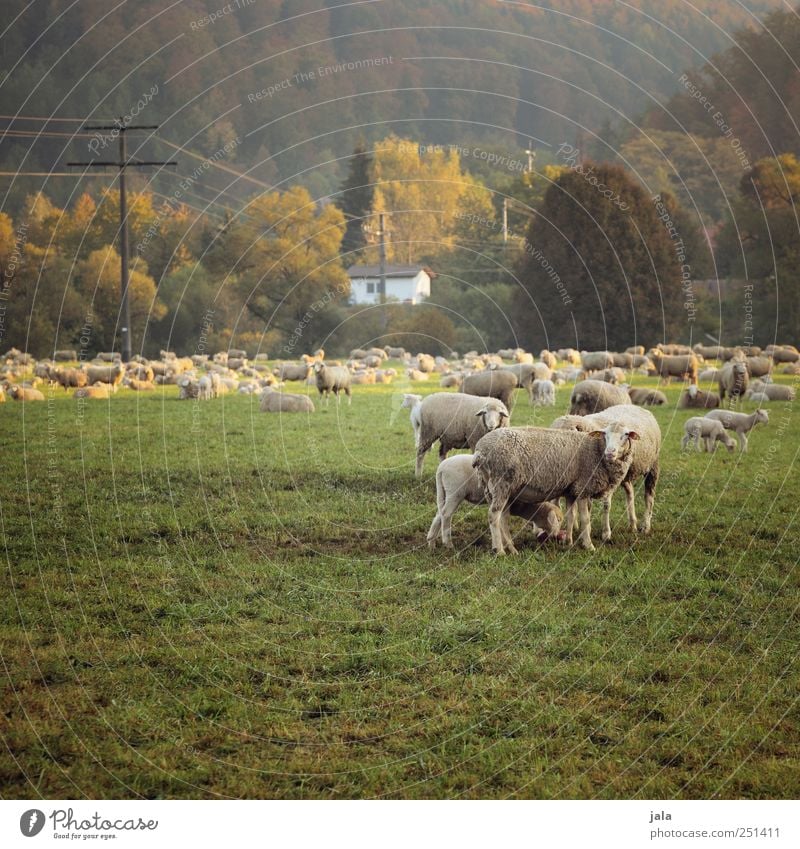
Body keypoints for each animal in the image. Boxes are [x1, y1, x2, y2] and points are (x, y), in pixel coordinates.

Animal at [424, 454, 564, 548]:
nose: (558, 535)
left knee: (439, 514)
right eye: (558, 520)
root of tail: (441, 469)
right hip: (455, 492)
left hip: (444, 492)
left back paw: (432, 543)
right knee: (446, 514)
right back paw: (448, 543)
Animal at [476, 422, 636, 552]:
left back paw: (511, 548)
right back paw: (499, 550)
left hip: (495, 488)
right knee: (494, 516)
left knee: (503, 519)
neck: (595, 450)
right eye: (605, 434)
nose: (610, 452)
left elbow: (571, 516)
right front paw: (588, 545)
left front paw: (569, 542)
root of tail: (480, 451)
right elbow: (585, 519)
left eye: (625, 435)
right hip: (501, 483)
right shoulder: (583, 488)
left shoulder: (572, 490)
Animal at [552, 404, 660, 536]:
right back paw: (632, 524)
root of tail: (635, 406)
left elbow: (604, 505)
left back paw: (645, 526)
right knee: (630, 492)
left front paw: (605, 533)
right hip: (624, 472)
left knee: (649, 497)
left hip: (652, 466)